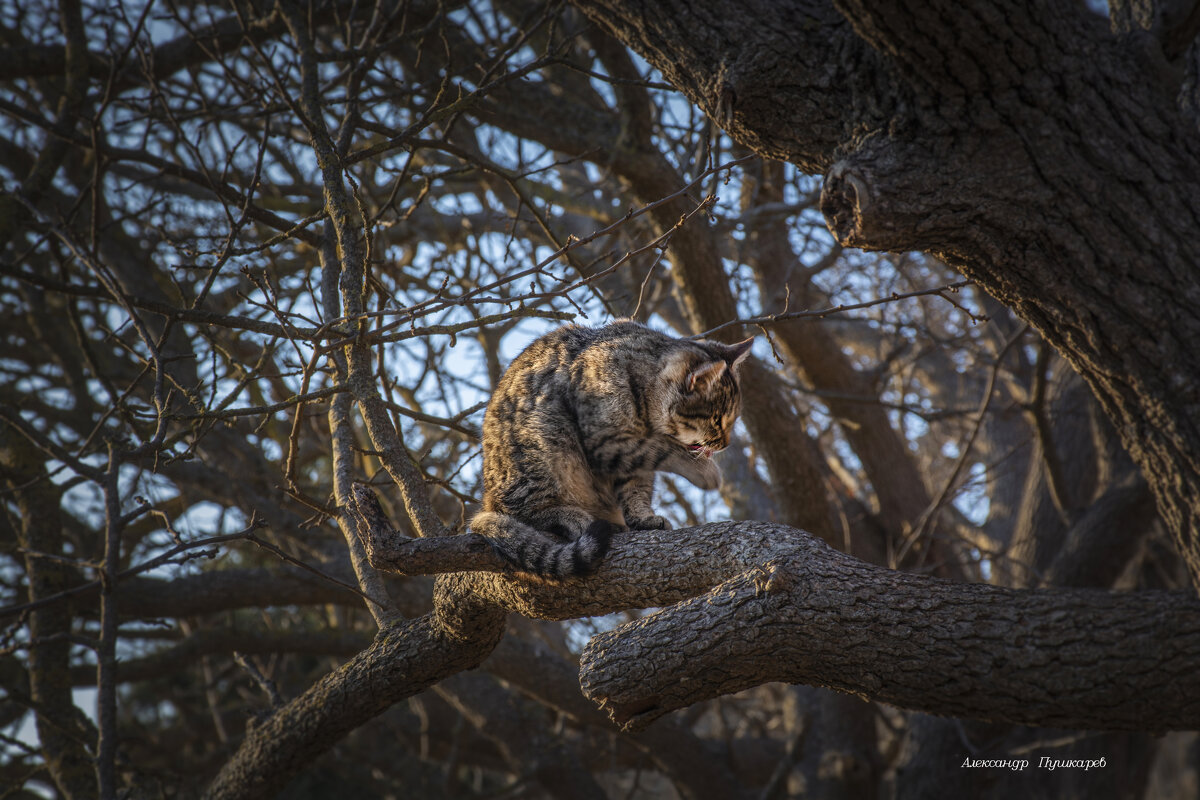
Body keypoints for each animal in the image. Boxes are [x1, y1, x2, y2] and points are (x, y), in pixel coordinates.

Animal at [468, 321, 748, 582]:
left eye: (733, 419)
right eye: (716, 420)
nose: (725, 443)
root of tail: (487, 498)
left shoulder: (631, 461)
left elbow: (637, 489)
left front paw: (642, 518)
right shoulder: (607, 442)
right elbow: (665, 450)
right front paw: (705, 471)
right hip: (546, 440)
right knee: (524, 511)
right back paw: (573, 517)